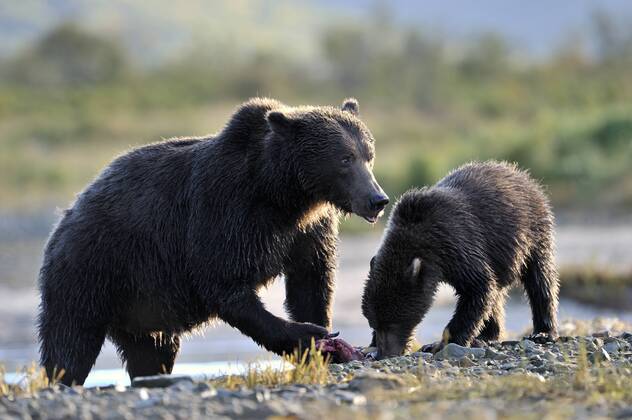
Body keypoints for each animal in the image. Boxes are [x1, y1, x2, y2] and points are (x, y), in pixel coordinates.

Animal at [38, 97, 390, 384]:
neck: (284, 196)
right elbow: (225, 285)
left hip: (140, 303)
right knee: (70, 340)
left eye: (369, 155)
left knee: (152, 350)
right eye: (345, 158)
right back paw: (63, 378)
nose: (377, 199)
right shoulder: (224, 214)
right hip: (93, 270)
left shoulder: (307, 232)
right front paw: (305, 335)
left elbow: (311, 281)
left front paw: (325, 336)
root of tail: (66, 216)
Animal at [360, 161, 556, 358]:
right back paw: (487, 335)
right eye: (373, 322)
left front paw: (441, 343)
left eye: (394, 322)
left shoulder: (457, 245)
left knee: (540, 280)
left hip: (531, 233)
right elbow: (486, 291)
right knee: (497, 294)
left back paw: (542, 331)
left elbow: (478, 287)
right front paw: (370, 348)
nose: (384, 353)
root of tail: (520, 173)